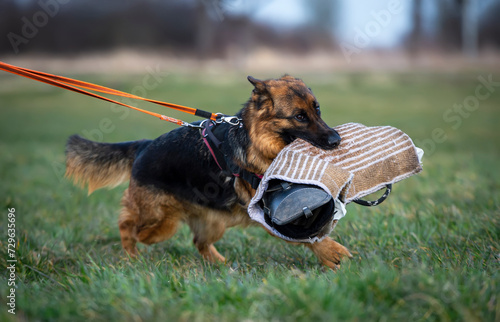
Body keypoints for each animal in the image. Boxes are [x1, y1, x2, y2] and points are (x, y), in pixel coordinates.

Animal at [66, 75, 352, 270]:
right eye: (299, 117)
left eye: (317, 110)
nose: (336, 140)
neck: (259, 143)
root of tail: (144, 146)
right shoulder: (265, 212)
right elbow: (305, 236)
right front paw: (330, 251)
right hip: (160, 220)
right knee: (128, 225)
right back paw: (131, 254)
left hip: (211, 221)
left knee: (198, 241)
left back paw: (220, 264)